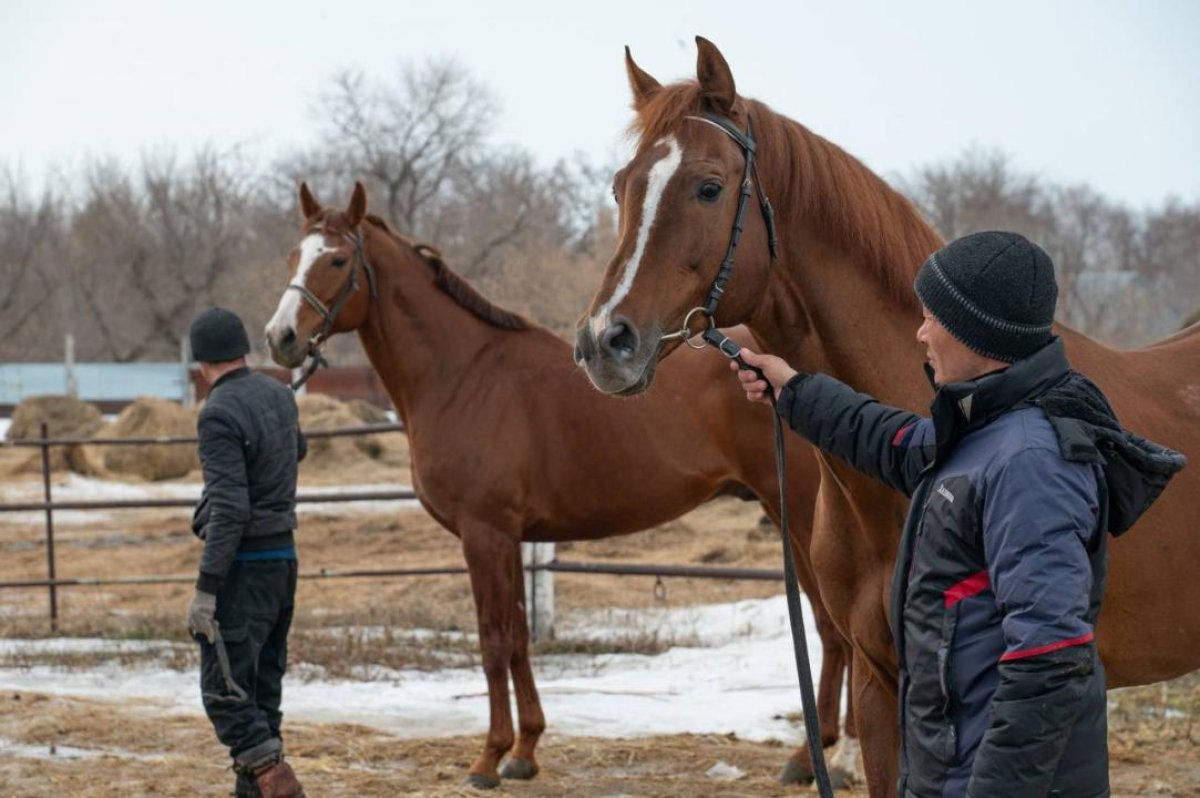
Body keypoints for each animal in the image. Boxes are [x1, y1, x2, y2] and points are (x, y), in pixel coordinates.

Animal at [266, 183, 859, 787]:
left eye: (338, 260)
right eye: (293, 257)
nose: (281, 337)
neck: (464, 376)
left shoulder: (484, 534)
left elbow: (493, 641)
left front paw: (488, 759)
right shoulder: (508, 538)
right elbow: (519, 639)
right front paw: (524, 751)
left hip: (800, 513)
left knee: (835, 627)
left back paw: (830, 756)